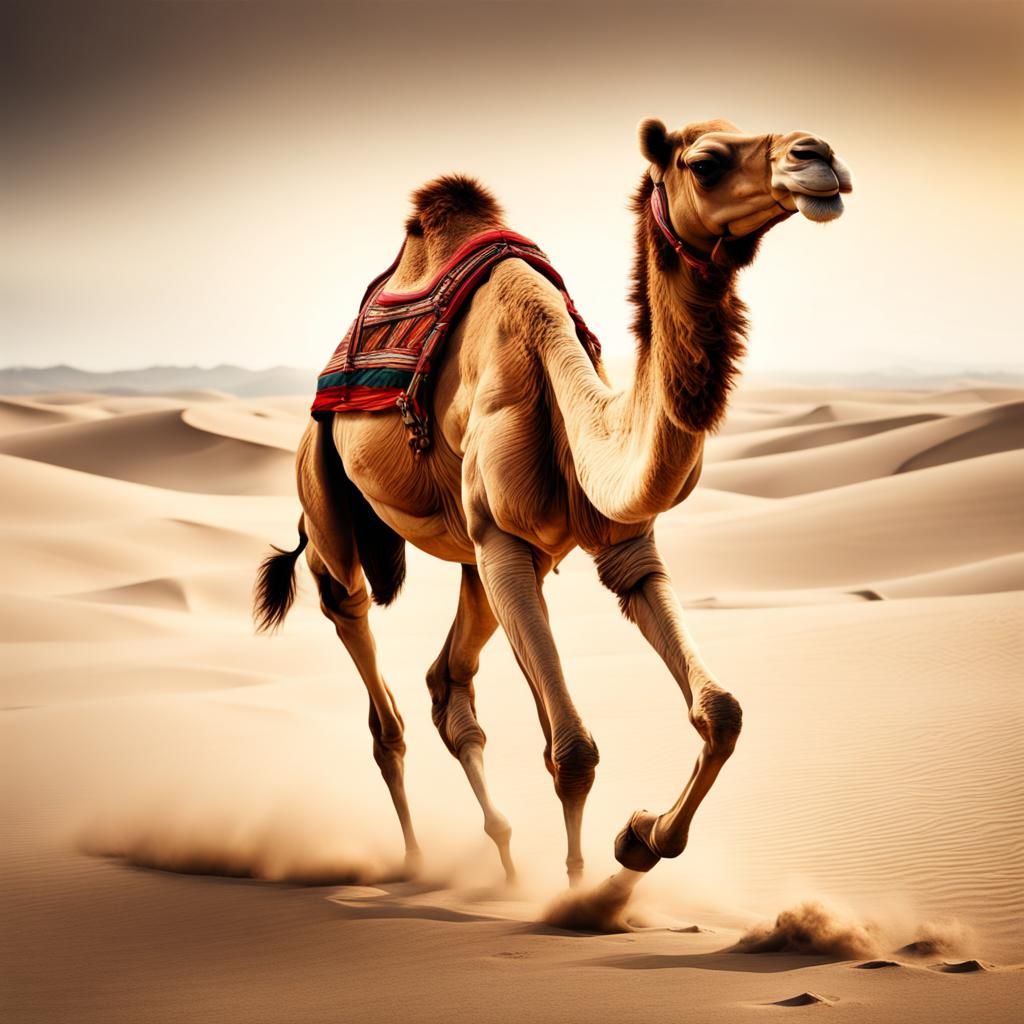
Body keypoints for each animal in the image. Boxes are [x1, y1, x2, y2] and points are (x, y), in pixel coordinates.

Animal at [254, 118, 852, 899]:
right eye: (705, 161)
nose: (819, 156)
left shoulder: (617, 547)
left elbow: (720, 713)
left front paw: (639, 840)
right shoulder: (506, 545)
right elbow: (573, 752)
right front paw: (578, 893)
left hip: (475, 563)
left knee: (449, 686)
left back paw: (505, 860)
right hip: (331, 502)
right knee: (363, 648)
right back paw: (415, 862)